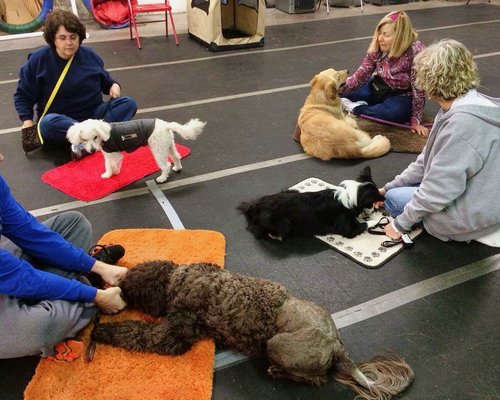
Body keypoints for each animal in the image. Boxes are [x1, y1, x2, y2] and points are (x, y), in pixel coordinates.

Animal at [66, 117, 205, 183]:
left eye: (95, 137)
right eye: (84, 139)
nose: (92, 150)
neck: (104, 133)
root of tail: (165, 125)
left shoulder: (113, 154)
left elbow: (109, 165)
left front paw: (110, 174)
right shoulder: (111, 154)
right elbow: (111, 164)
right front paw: (114, 172)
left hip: (158, 150)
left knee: (166, 165)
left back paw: (162, 178)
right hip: (168, 145)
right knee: (176, 156)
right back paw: (177, 167)